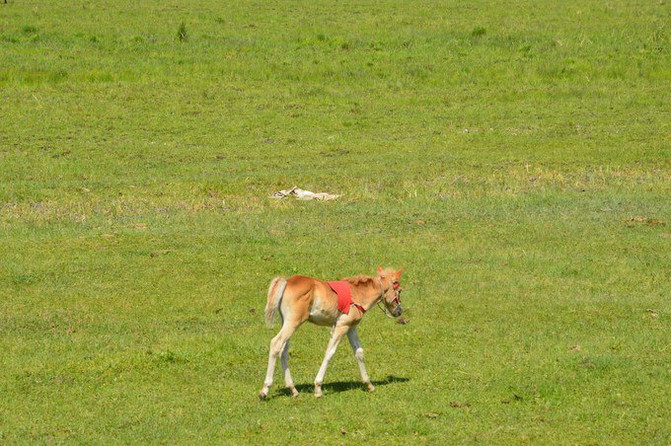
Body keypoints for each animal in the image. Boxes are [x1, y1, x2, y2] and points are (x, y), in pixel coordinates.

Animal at [260, 266, 402, 398]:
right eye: (399, 290)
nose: (399, 311)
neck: (358, 293)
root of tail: (287, 281)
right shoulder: (341, 326)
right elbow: (330, 352)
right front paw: (318, 388)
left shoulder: (351, 327)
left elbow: (359, 353)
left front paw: (369, 385)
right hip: (293, 322)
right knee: (276, 344)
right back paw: (264, 390)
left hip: (287, 323)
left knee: (283, 351)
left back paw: (293, 390)